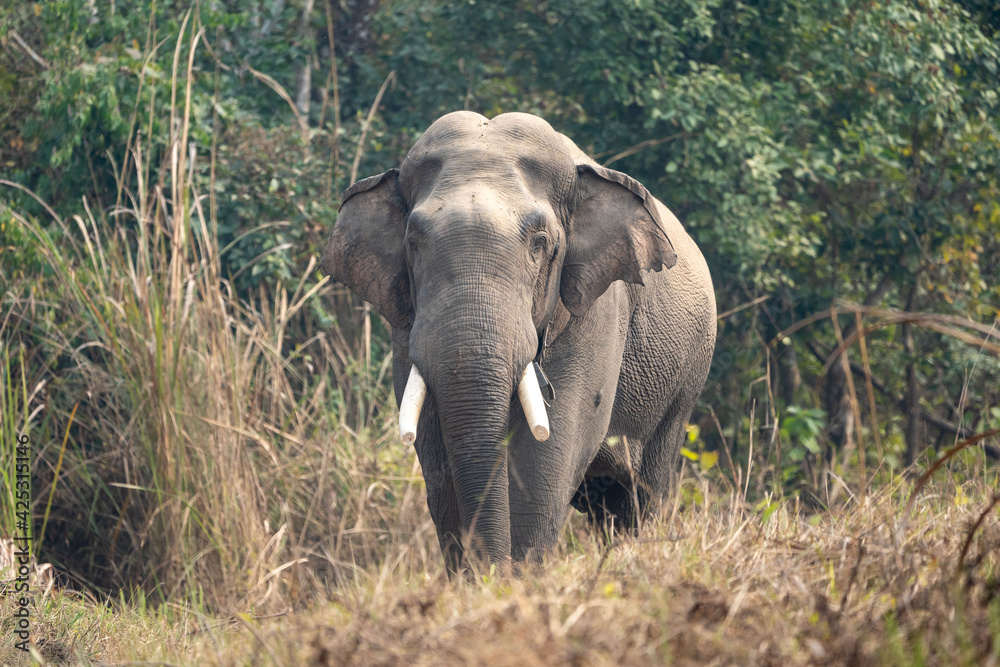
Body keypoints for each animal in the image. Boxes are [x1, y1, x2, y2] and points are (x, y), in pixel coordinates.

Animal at [322, 111, 716, 571]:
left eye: (540, 244)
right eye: (413, 245)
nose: (493, 571)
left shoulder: (596, 312)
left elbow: (548, 450)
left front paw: (518, 575)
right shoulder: (406, 320)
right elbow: (435, 448)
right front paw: (475, 578)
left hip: (684, 385)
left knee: (642, 494)